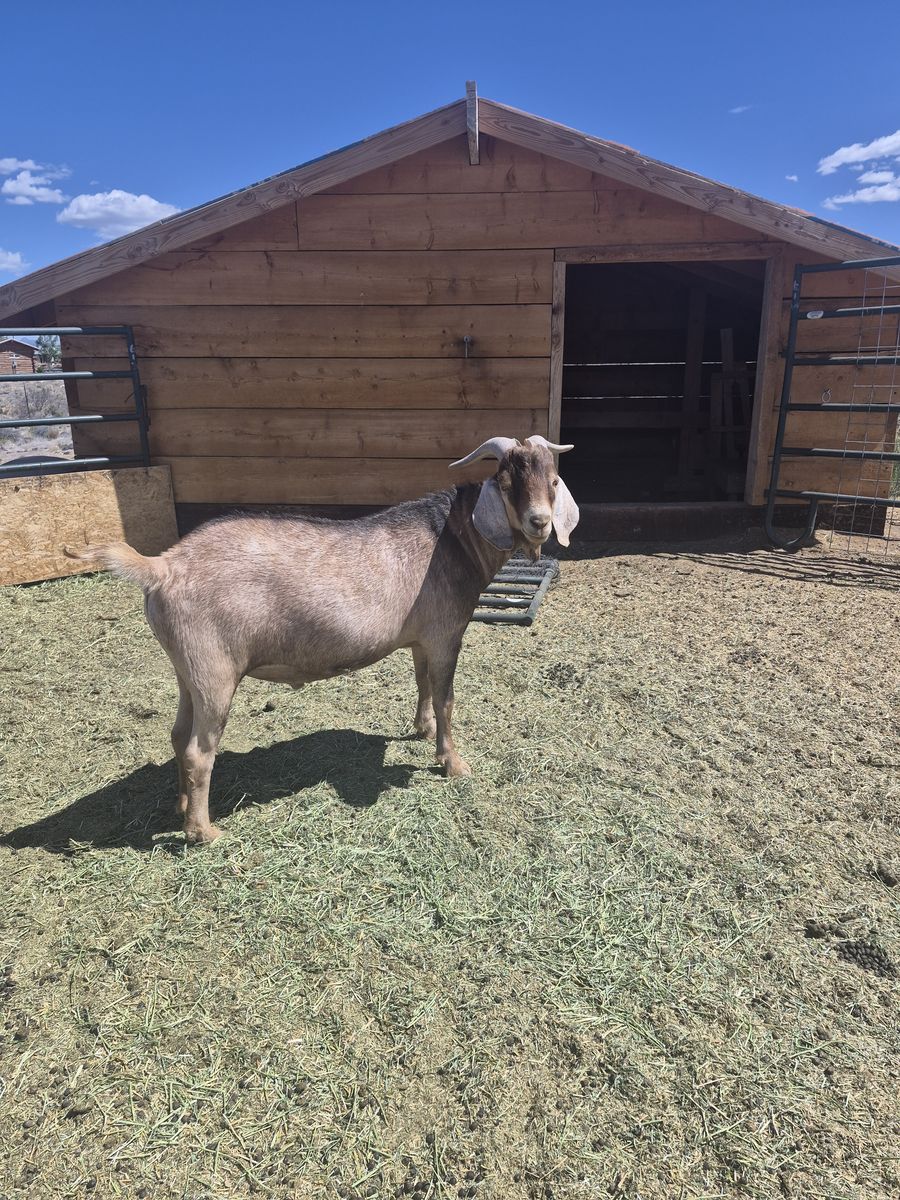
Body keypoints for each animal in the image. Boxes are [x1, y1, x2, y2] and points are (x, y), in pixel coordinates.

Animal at [65, 435, 579, 844]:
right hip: (213, 670)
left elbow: (421, 684)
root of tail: (162, 566)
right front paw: (453, 763)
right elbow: (446, 698)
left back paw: (180, 807)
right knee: (198, 751)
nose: (539, 522)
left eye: (553, 480)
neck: (453, 536)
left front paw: (422, 729)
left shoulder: (421, 637)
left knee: (176, 735)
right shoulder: (446, 634)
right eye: (507, 481)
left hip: (185, 669)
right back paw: (203, 832)